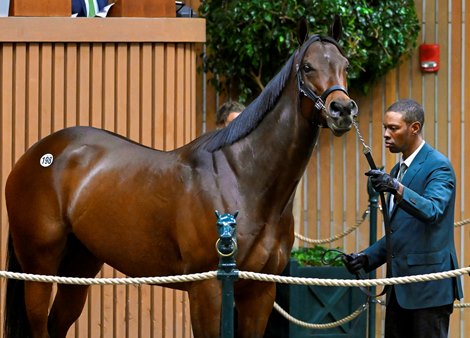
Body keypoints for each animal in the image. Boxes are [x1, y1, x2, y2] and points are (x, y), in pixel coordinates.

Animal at [3, 18, 358, 338]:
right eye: (308, 67)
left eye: (346, 65)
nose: (342, 110)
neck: (244, 180)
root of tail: (36, 155)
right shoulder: (206, 289)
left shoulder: (260, 293)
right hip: (38, 267)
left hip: (79, 267)